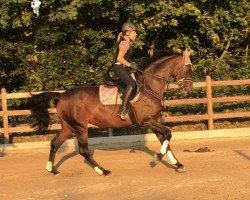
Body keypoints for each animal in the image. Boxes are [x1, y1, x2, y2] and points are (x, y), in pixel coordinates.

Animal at [28, 48, 193, 175]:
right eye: (188, 68)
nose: (189, 90)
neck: (149, 87)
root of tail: (61, 95)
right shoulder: (146, 121)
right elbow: (168, 134)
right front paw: (158, 157)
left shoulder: (155, 120)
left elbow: (165, 138)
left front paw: (177, 164)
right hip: (80, 127)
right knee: (83, 151)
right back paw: (102, 170)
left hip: (69, 127)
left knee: (55, 143)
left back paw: (51, 169)